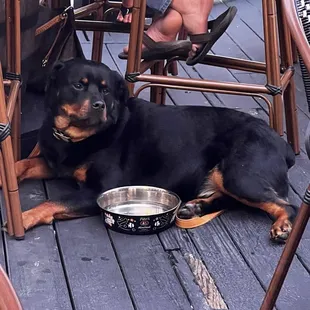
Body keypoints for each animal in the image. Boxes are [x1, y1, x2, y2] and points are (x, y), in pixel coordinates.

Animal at [3, 58, 298, 242]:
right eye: (78, 85)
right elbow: (20, 164)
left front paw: (23, 217)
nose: (99, 105)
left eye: (106, 91)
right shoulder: (54, 163)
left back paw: (283, 226)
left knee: (286, 205)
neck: (77, 138)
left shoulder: (99, 191)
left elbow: (52, 202)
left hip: (240, 174)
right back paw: (195, 207)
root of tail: (283, 145)